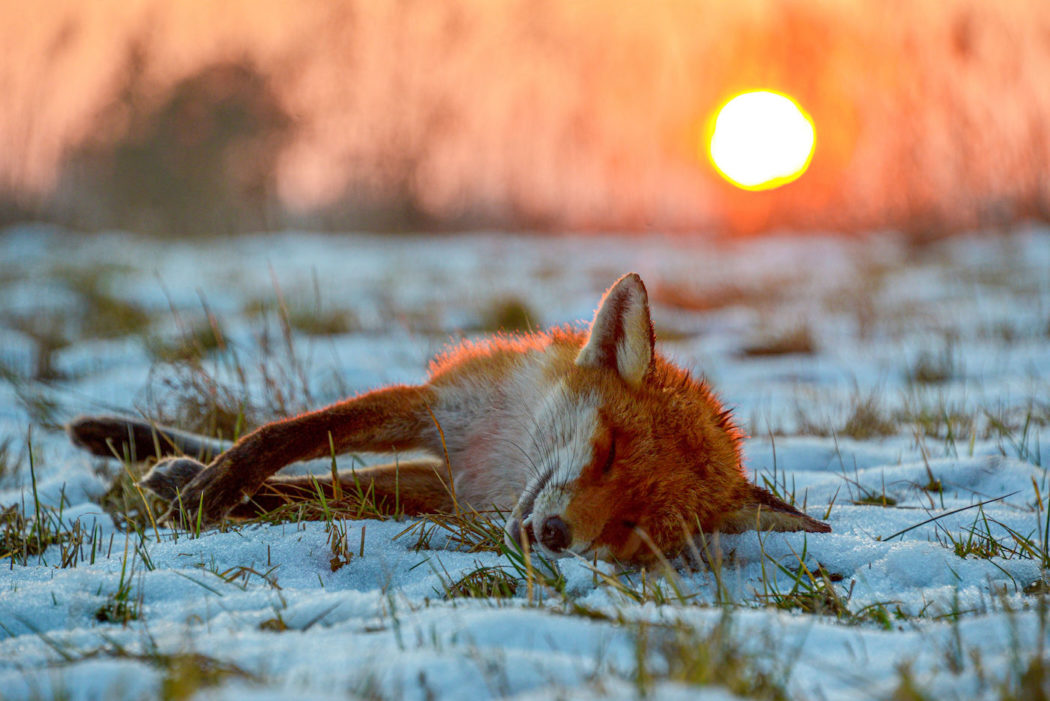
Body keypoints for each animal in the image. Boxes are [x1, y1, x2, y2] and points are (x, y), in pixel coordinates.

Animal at [68, 273, 830, 564]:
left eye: (634, 528)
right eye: (609, 450)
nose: (556, 535)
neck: (505, 456)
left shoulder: (450, 489)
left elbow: (310, 493)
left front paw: (204, 494)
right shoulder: (438, 413)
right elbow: (280, 437)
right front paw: (211, 490)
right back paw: (135, 445)